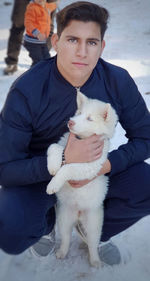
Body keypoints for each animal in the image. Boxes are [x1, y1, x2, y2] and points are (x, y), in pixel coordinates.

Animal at [46, 90, 118, 266]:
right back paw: (62, 253)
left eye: (90, 118)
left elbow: (68, 167)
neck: (81, 139)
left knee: (92, 243)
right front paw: (53, 166)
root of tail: (78, 214)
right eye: (79, 113)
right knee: (65, 238)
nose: (71, 122)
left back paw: (95, 261)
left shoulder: (89, 167)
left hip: (94, 224)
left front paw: (53, 184)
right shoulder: (65, 144)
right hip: (64, 218)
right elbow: (54, 147)